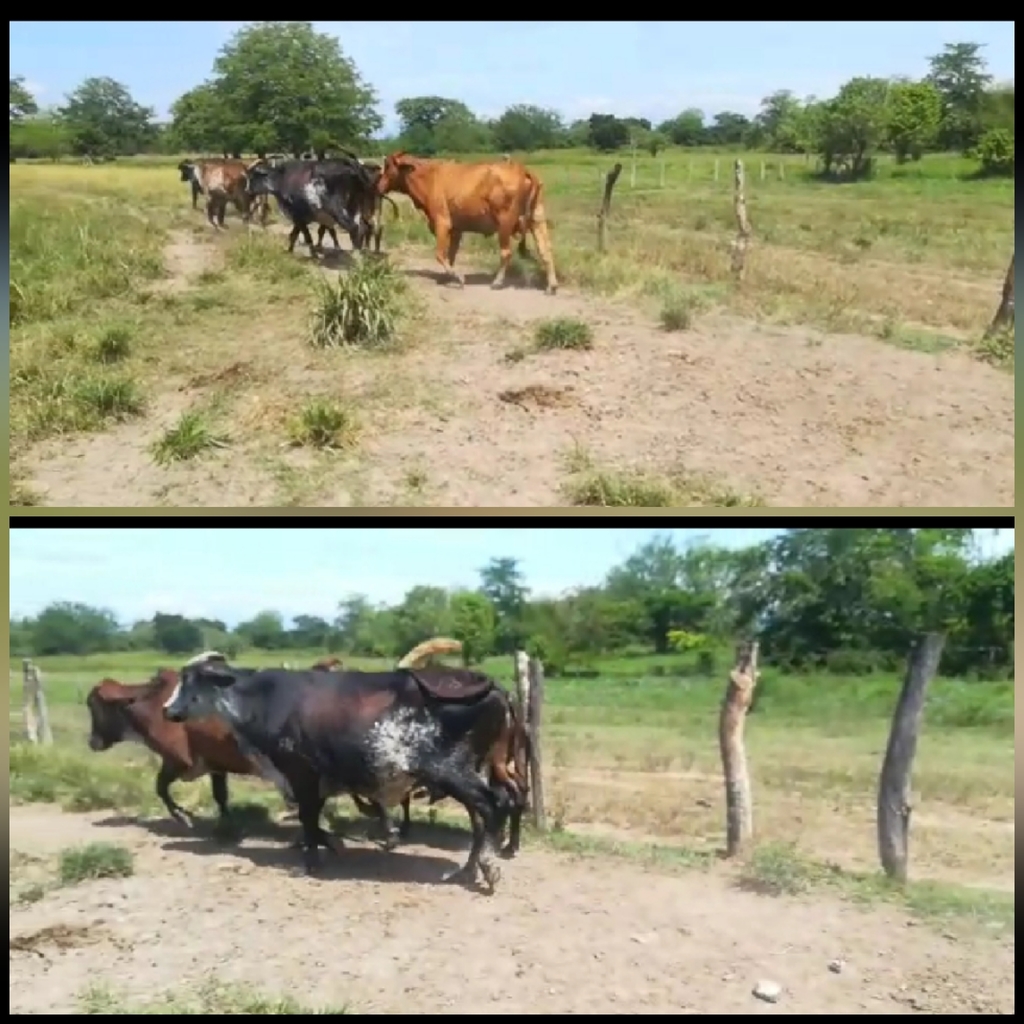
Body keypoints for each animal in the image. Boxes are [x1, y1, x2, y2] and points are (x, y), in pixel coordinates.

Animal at [163, 656, 526, 891]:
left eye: (190, 679)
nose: (168, 710)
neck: (264, 699)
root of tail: (492, 686)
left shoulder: (301, 774)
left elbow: (308, 818)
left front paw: (314, 858)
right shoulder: (318, 780)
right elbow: (313, 818)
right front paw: (332, 843)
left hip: (452, 771)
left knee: (492, 805)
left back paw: (487, 867)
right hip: (470, 770)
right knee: (483, 815)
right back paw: (468, 869)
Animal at [375, 152, 558, 295]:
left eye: (388, 167)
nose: (378, 187)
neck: (429, 176)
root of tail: (522, 169)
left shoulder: (442, 223)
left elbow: (440, 254)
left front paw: (458, 278)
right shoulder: (456, 229)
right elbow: (450, 254)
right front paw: (447, 277)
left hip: (504, 223)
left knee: (506, 252)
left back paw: (497, 282)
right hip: (537, 220)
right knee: (545, 250)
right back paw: (552, 286)